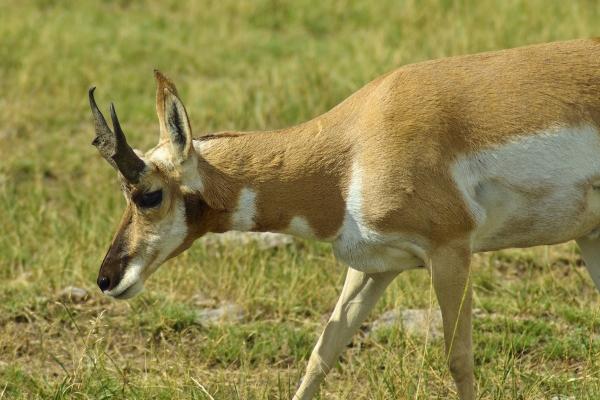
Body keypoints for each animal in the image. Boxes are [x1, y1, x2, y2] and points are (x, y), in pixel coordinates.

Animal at [91, 36, 600, 396]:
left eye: (148, 195)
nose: (107, 278)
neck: (352, 147)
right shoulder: (374, 268)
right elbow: (323, 352)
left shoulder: (451, 252)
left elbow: (459, 360)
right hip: (590, 238)